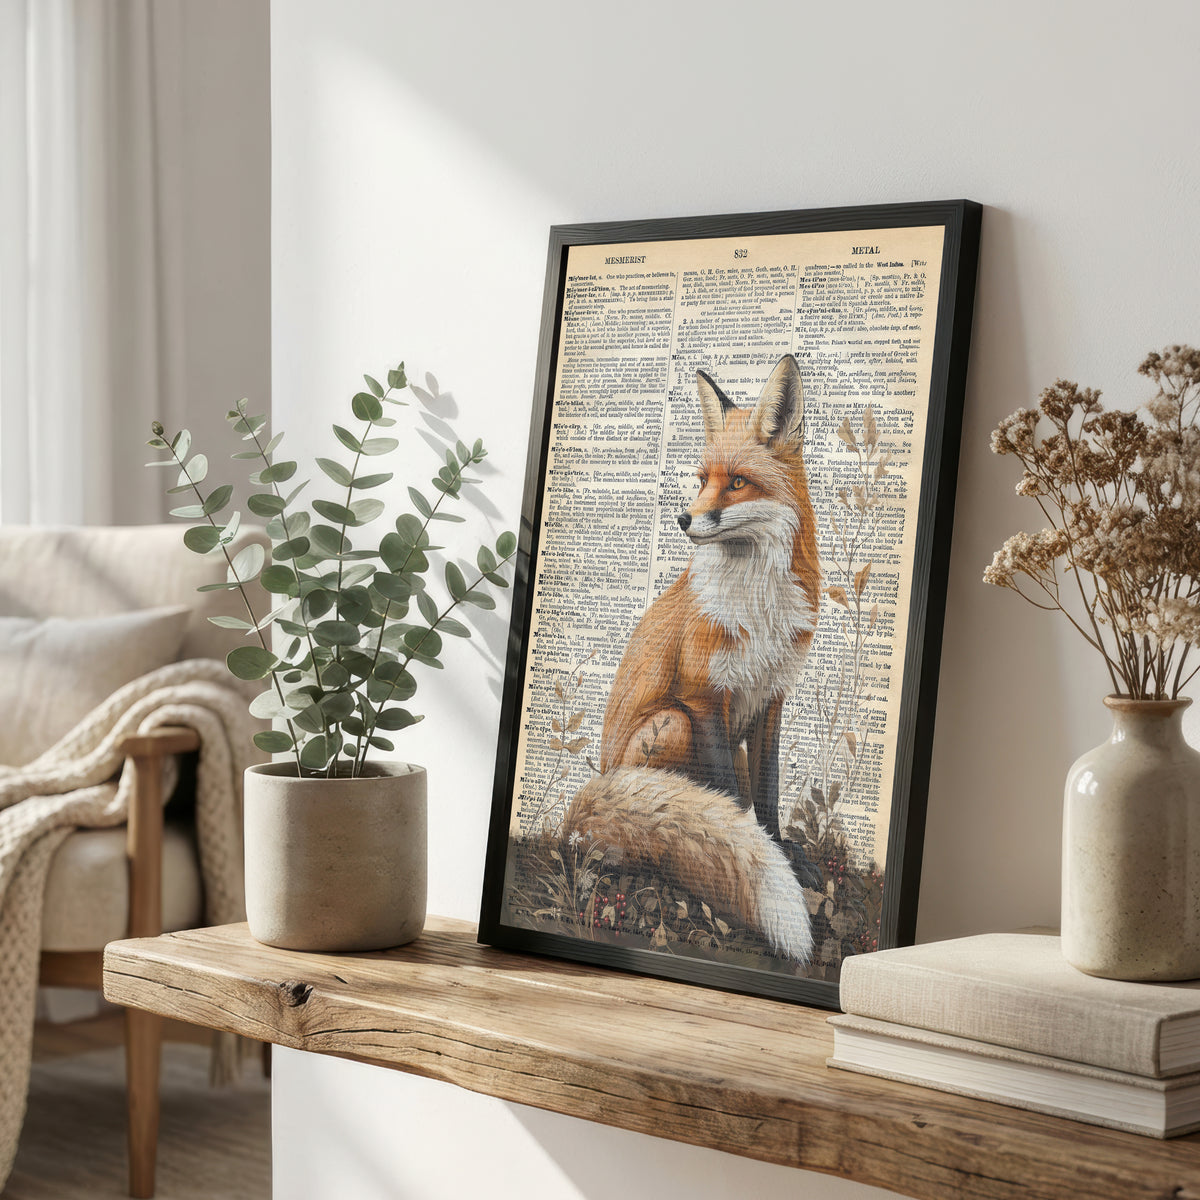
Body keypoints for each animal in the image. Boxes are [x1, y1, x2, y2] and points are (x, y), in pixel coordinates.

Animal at [561, 354, 821, 964]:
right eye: (702, 481)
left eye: (738, 482)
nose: (682, 519)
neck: (757, 606)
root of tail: (599, 781)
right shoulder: (703, 699)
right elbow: (725, 799)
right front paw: (744, 850)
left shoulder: (772, 698)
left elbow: (768, 792)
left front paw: (780, 851)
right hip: (672, 724)